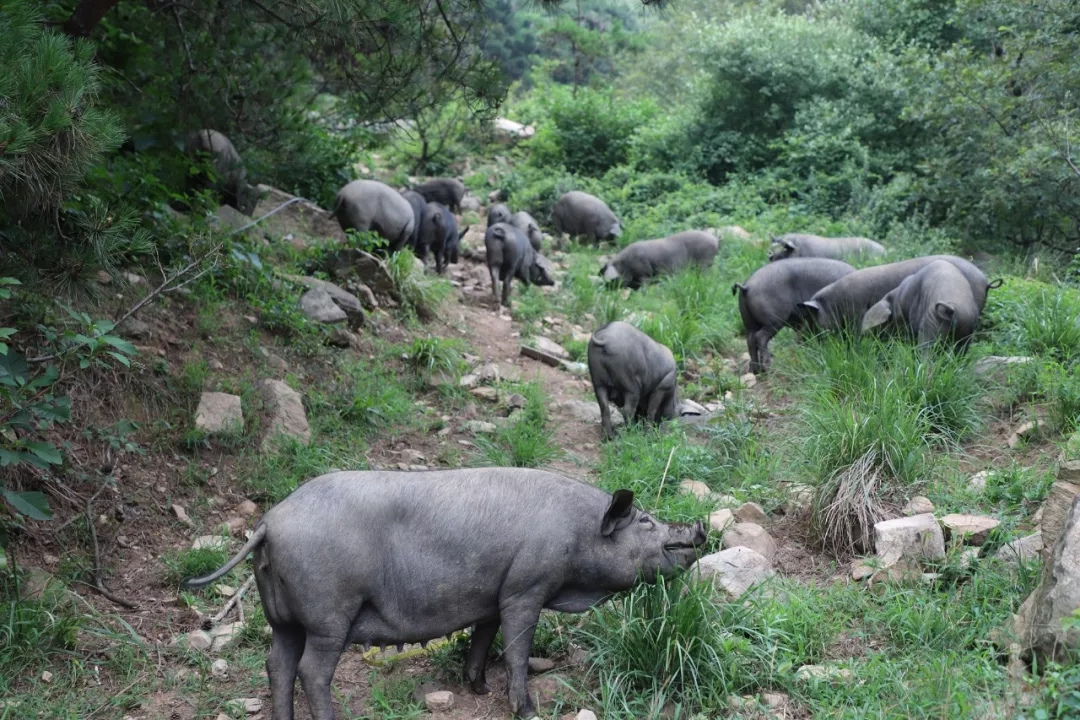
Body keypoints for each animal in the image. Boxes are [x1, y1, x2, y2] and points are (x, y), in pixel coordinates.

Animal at [185, 468, 708, 720]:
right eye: (646, 522)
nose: (698, 527)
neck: (578, 539)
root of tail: (269, 523)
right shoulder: (526, 587)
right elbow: (517, 647)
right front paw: (526, 710)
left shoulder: (494, 593)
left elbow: (483, 637)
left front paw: (477, 688)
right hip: (329, 613)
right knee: (312, 671)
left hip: (282, 618)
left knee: (277, 664)